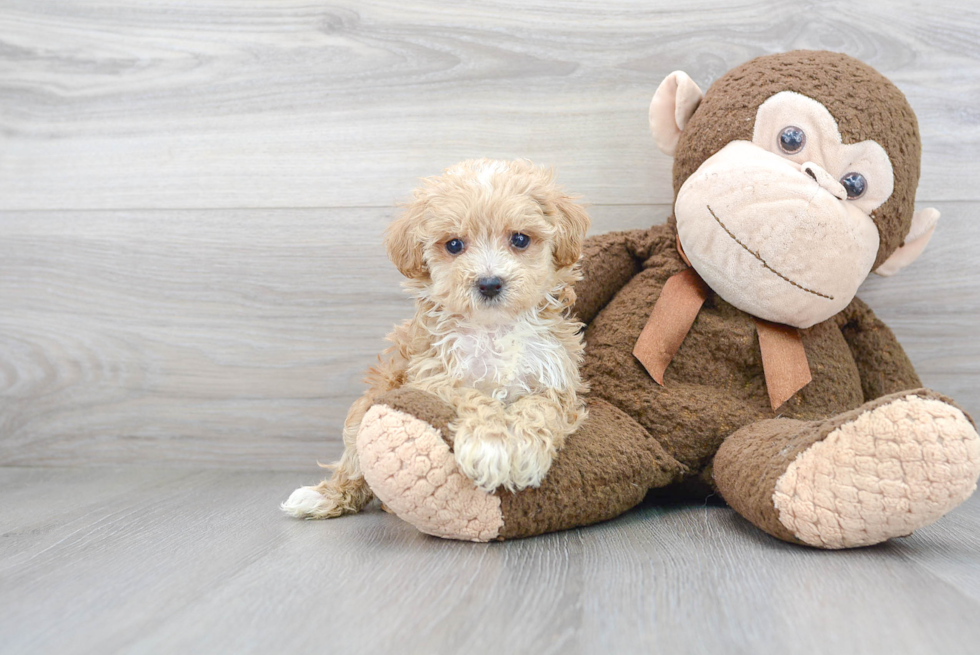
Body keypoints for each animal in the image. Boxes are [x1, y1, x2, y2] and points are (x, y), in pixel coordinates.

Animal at [282, 159, 588, 516]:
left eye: (520, 239)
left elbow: (539, 408)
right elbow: (472, 396)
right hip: (373, 400)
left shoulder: (554, 378)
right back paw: (323, 495)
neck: (493, 329)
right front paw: (490, 446)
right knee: (354, 466)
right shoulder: (431, 378)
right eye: (454, 244)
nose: (489, 283)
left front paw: (523, 452)